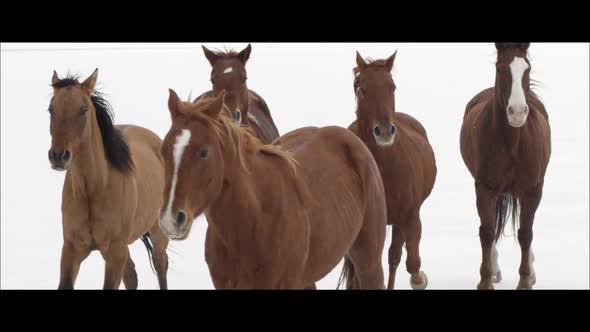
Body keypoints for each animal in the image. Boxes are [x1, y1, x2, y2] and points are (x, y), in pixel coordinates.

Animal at [48, 68, 169, 290]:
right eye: (51, 110)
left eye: (83, 110)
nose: (59, 156)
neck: (94, 189)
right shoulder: (71, 250)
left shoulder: (114, 251)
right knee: (131, 276)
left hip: (157, 233)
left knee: (160, 266)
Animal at [350, 50, 438, 290]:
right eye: (362, 89)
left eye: (393, 87)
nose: (384, 131)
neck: (384, 167)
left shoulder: (410, 217)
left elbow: (412, 264)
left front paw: (421, 279)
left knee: (394, 258)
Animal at [462, 42, 556, 290]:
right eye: (500, 68)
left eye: (527, 68)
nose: (517, 112)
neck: (512, 144)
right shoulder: (485, 188)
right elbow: (487, 232)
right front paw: (485, 280)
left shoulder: (533, 189)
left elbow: (525, 233)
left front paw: (525, 281)